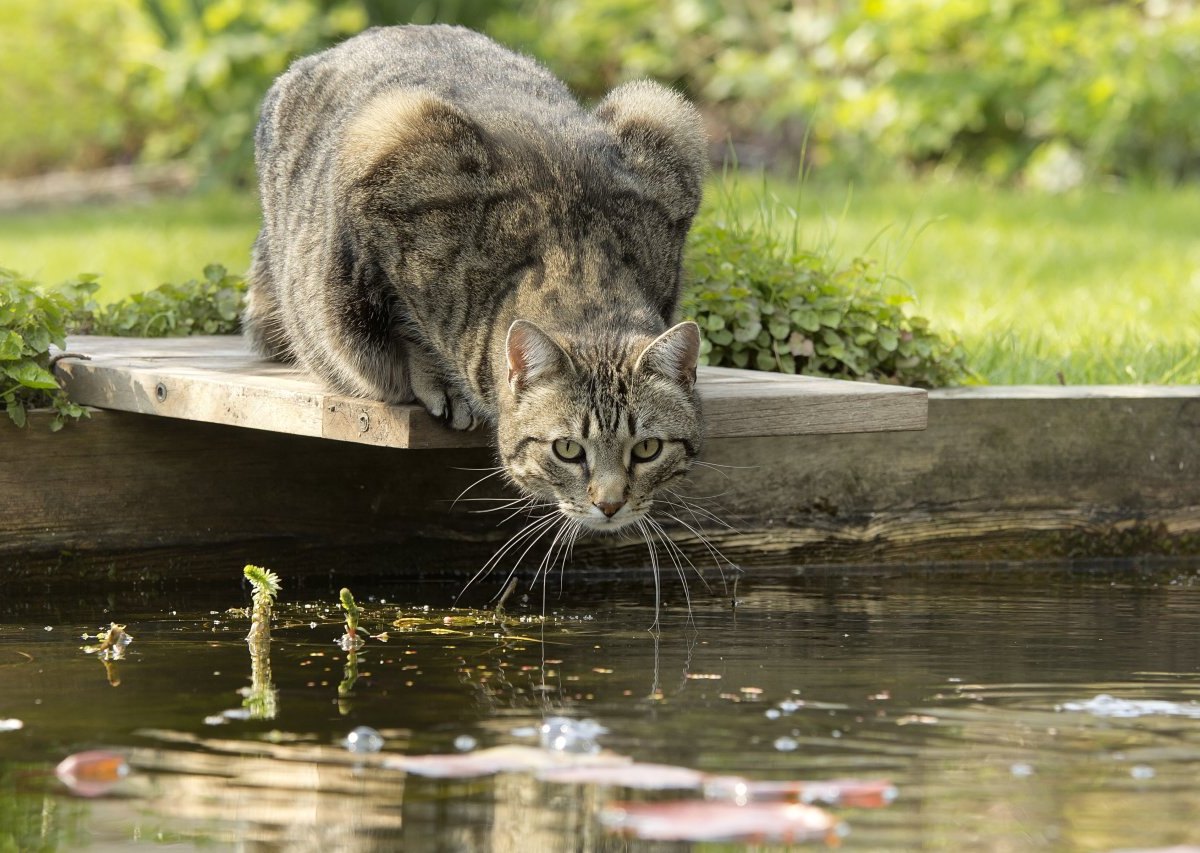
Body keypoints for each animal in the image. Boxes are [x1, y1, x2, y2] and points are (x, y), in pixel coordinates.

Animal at [247, 29, 705, 544]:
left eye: (647, 449)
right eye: (568, 450)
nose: (610, 504)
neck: (579, 258)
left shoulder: (665, 141)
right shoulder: (384, 159)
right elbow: (400, 324)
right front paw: (439, 379)